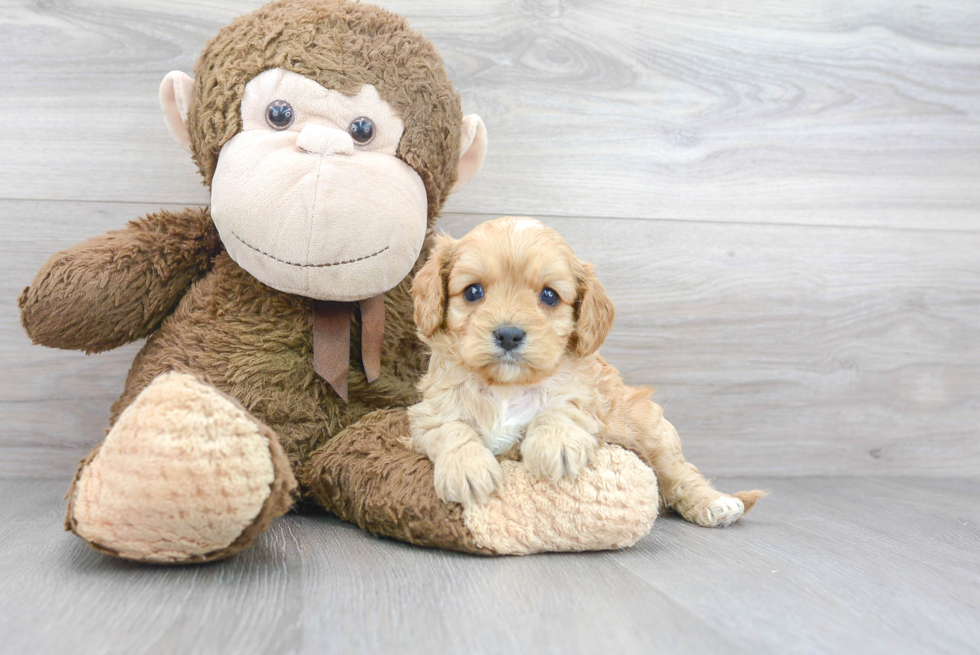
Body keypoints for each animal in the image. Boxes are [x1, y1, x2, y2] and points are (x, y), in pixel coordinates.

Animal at [406, 218, 764, 532]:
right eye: (473, 292)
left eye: (549, 295)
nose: (508, 334)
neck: (508, 387)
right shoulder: (428, 414)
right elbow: (451, 429)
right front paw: (468, 468)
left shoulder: (588, 403)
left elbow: (560, 410)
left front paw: (556, 443)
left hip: (653, 432)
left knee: (680, 475)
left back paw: (715, 503)